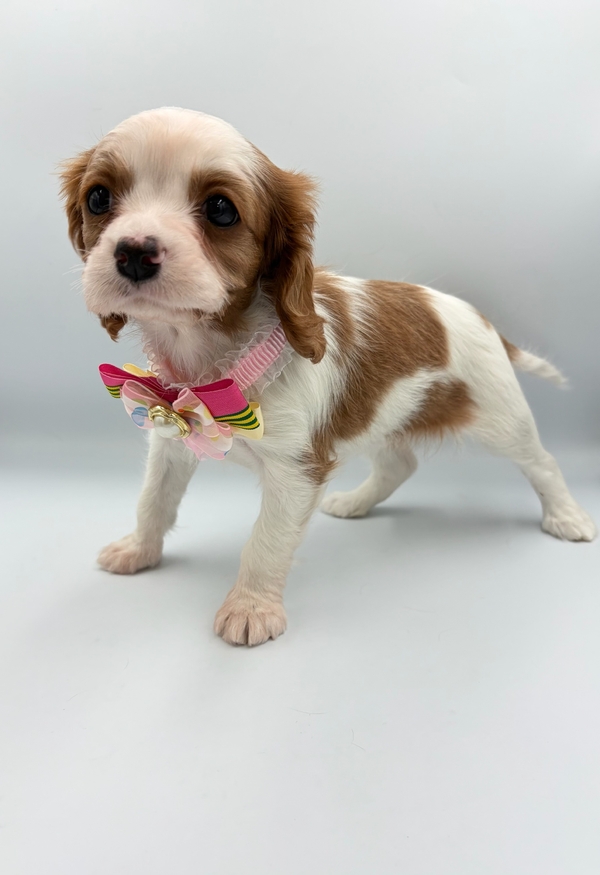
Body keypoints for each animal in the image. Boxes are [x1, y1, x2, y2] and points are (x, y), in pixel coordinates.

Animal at [60, 107, 596, 646]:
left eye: (221, 210)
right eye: (99, 198)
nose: (133, 251)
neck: (216, 360)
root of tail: (482, 319)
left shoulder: (296, 471)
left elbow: (266, 541)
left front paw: (250, 608)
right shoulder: (170, 437)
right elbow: (153, 501)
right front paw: (138, 551)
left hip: (499, 417)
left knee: (543, 463)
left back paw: (566, 517)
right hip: (387, 416)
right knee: (400, 464)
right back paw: (358, 503)